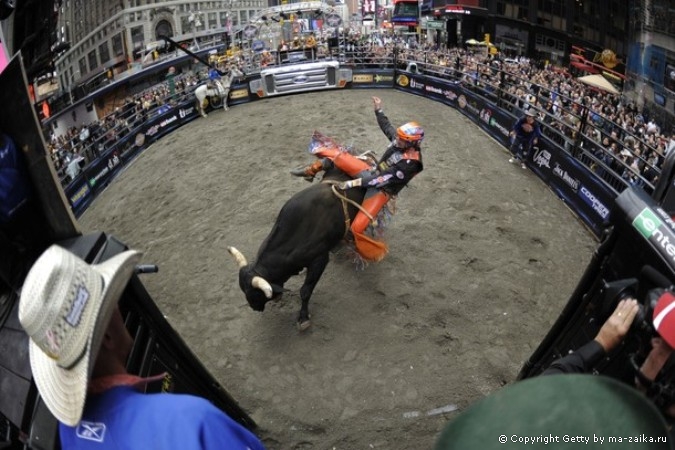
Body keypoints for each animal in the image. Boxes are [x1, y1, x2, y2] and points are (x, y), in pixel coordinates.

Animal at [227, 169, 368, 330]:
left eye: (256, 294)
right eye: (243, 289)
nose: (254, 307)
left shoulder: (319, 260)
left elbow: (305, 291)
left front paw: (303, 318)